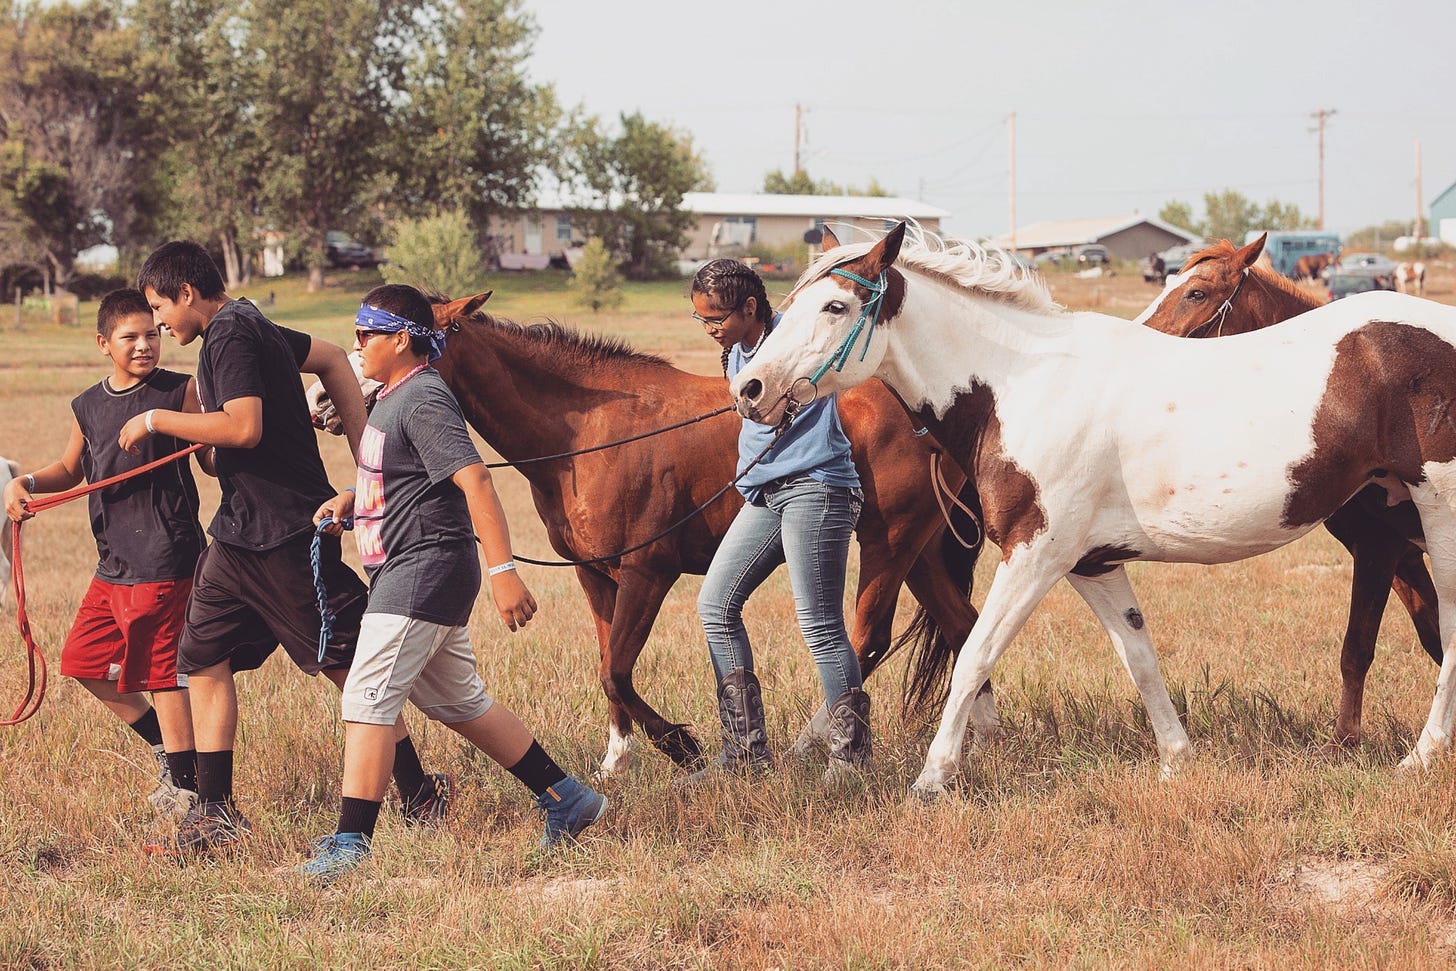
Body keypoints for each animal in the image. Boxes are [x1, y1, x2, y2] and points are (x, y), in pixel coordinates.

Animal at [305, 294, 990, 774]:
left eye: (389, 333)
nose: (320, 400)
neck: (585, 432)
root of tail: (925, 409)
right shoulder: (594, 574)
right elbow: (607, 663)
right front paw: (618, 761)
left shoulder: (646, 573)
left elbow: (618, 671)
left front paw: (681, 746)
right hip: (920, 552)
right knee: (964, 627)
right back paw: (978, 740)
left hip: (888, 544)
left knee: (866, 640)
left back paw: (814, 744)